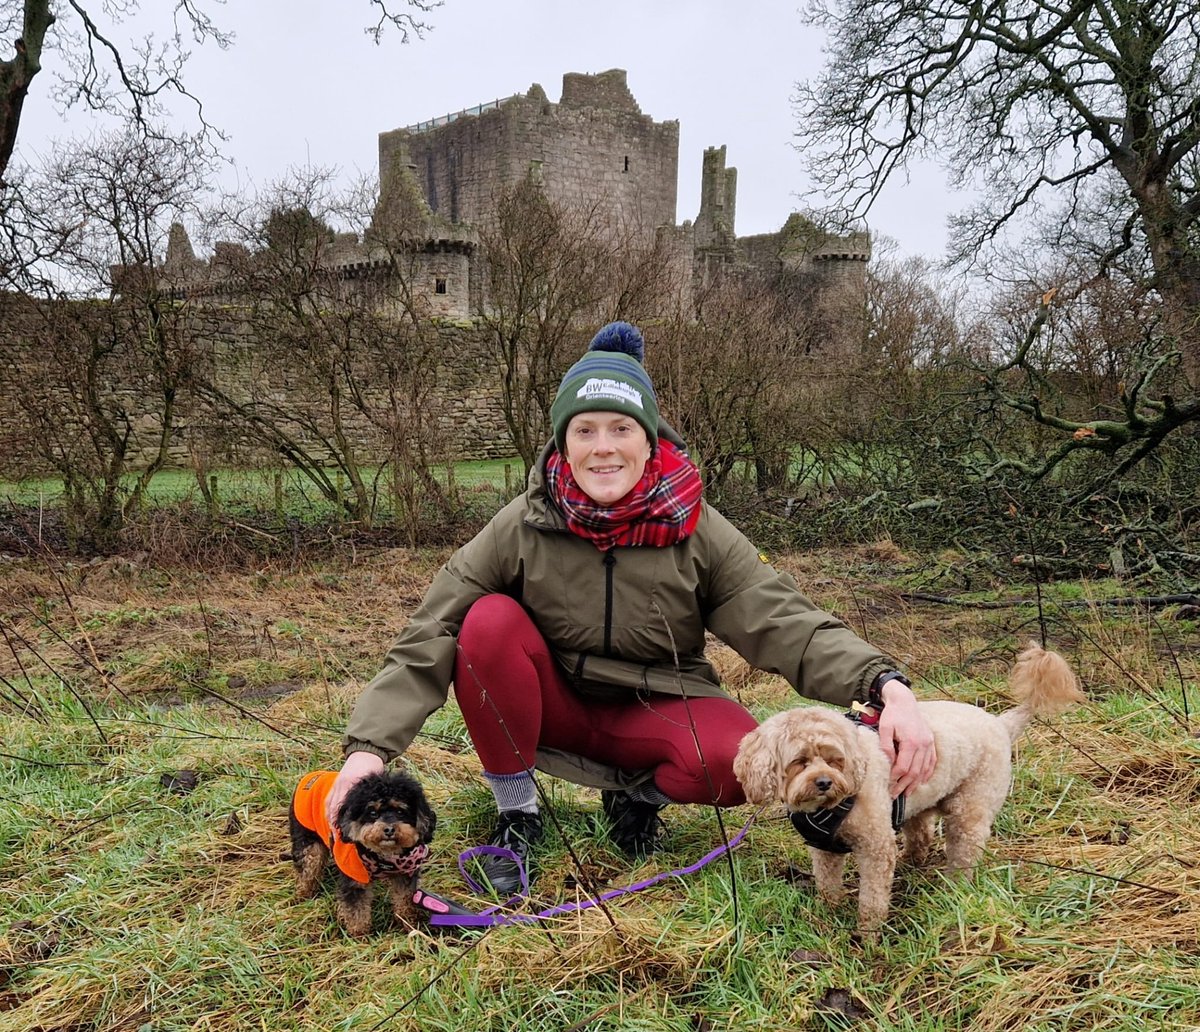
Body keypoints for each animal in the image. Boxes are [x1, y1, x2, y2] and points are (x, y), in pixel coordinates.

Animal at [288, 768, 439, 936]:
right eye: (373, 813)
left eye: (400, 811)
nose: (389, 830)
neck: (384, 855)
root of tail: (315, 774)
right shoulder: (354, 878)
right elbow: (356, 910)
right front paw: (359, 934)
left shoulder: (405, 874)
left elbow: (405, 899)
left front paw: (409, 922)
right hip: (307, 840)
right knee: (307, 869)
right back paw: (303, 895)